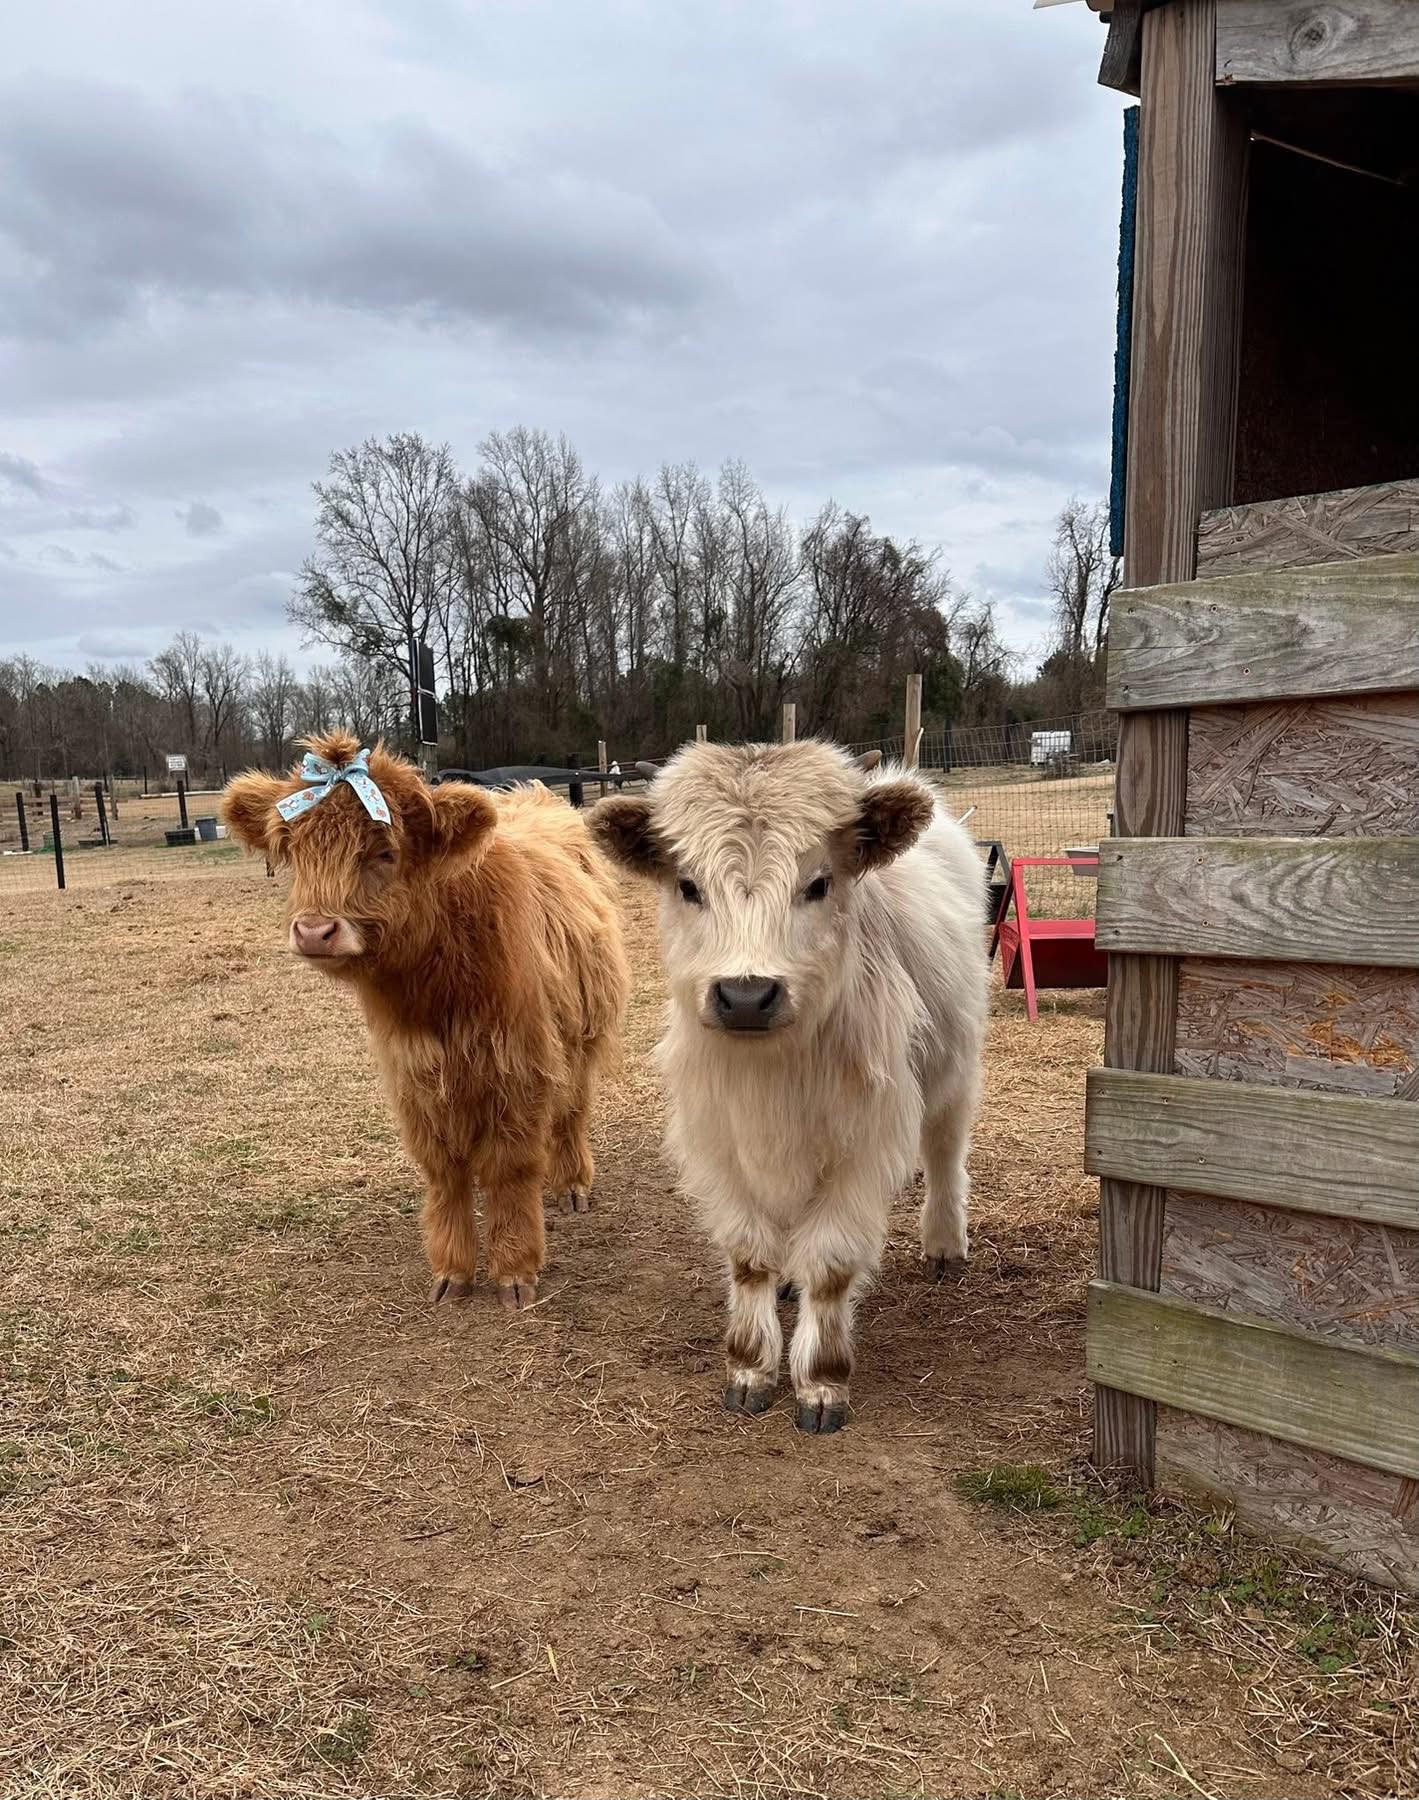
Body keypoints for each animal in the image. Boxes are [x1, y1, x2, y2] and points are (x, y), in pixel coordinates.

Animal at [221, 731, 629, 1312]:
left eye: (386, 851)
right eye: (295, 849)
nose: (314, 930)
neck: (436, 992)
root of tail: (534, 796)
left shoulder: (519, 1067)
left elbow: (509, 1168)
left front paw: (514, 1271)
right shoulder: (415, 1076)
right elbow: (444, 1171)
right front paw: (452, 1271)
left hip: (582, 1036)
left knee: (571, 1110)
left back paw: (571, 1185)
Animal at [591, 740, 987, 1433]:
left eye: (819, 883)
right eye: (688, 885)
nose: (746, 996)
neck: (772, 1072)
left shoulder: (863, 1143)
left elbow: (829, 1265)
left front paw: (822, 1381)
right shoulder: (720, 1142)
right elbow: (750, 1257)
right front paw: (750, 1366)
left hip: (955, 1069)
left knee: (944, 1154)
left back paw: (943, 1242)